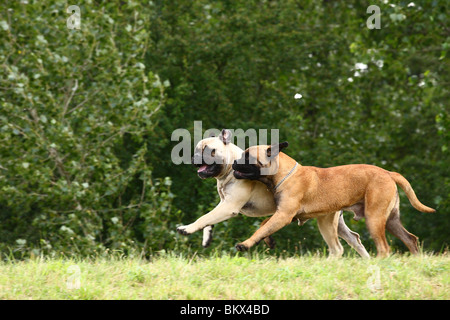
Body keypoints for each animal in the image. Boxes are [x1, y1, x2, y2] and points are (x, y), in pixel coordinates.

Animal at [232, 142, 436, 258]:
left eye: (247, 156)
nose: (234, 162)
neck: (284, 173)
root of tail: (388, 173)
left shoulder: (284, 215)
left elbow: (262, 228)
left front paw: (245, 244)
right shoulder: (284, 214)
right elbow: (264, 224)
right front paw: (268, 241)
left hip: (374, 218)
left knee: (384, 248)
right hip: (390, 220)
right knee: (410, 239)